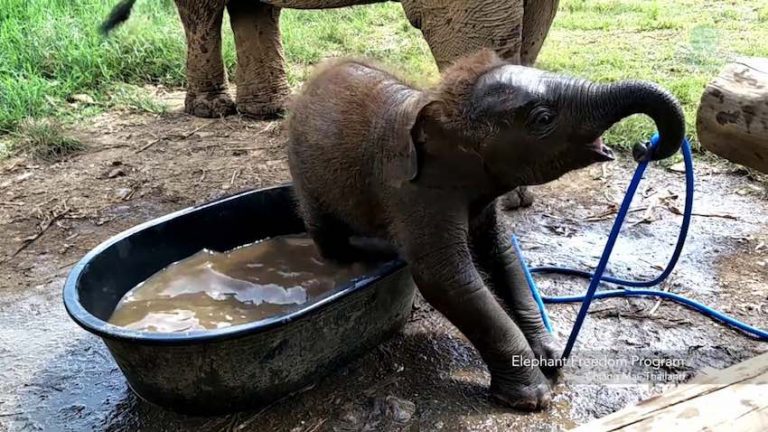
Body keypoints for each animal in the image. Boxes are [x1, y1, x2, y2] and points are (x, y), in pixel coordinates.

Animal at [285, 49, 685, 410]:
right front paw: (532, 398)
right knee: (331, 240)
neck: (440, 104)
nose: (644, 147)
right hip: (305, 176)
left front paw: (549, 355)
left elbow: (502, 253)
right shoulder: (413, 194)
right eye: (543, 118)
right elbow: (447, 279)